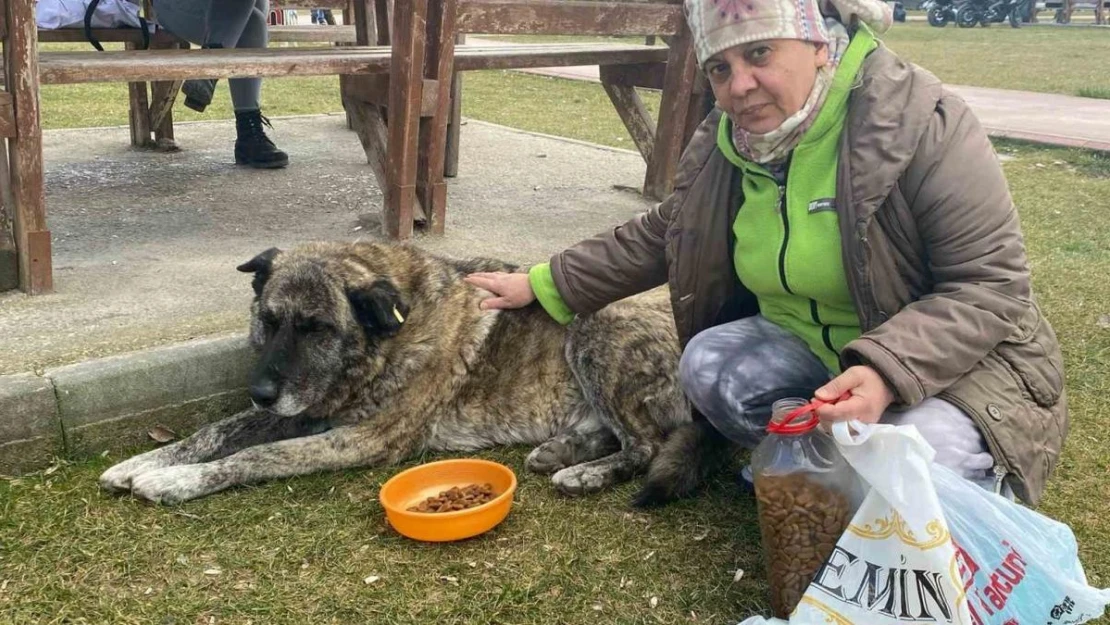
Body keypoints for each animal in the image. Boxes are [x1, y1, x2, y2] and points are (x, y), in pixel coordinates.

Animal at [99, 242, 728, 506]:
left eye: (316, 328)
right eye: (270, 321)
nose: (259, 393)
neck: (391, 334)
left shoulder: (360, 437)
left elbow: (254, 456)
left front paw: (177, 481)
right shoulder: (307, 412)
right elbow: (216, 432)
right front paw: (144, 461)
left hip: (599, 323)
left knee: (646, 444)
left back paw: (589, 473)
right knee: (613, 430)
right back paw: (565, 449)